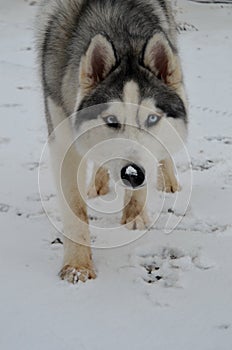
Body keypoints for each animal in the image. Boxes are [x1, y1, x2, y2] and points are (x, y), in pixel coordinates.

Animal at [36, 0, 188, 284]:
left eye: (152, 118)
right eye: (111, 120)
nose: (132, 174)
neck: (119, 31)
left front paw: (135, 214)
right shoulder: (63, 140)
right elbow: (75, 210)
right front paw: (77, 266)